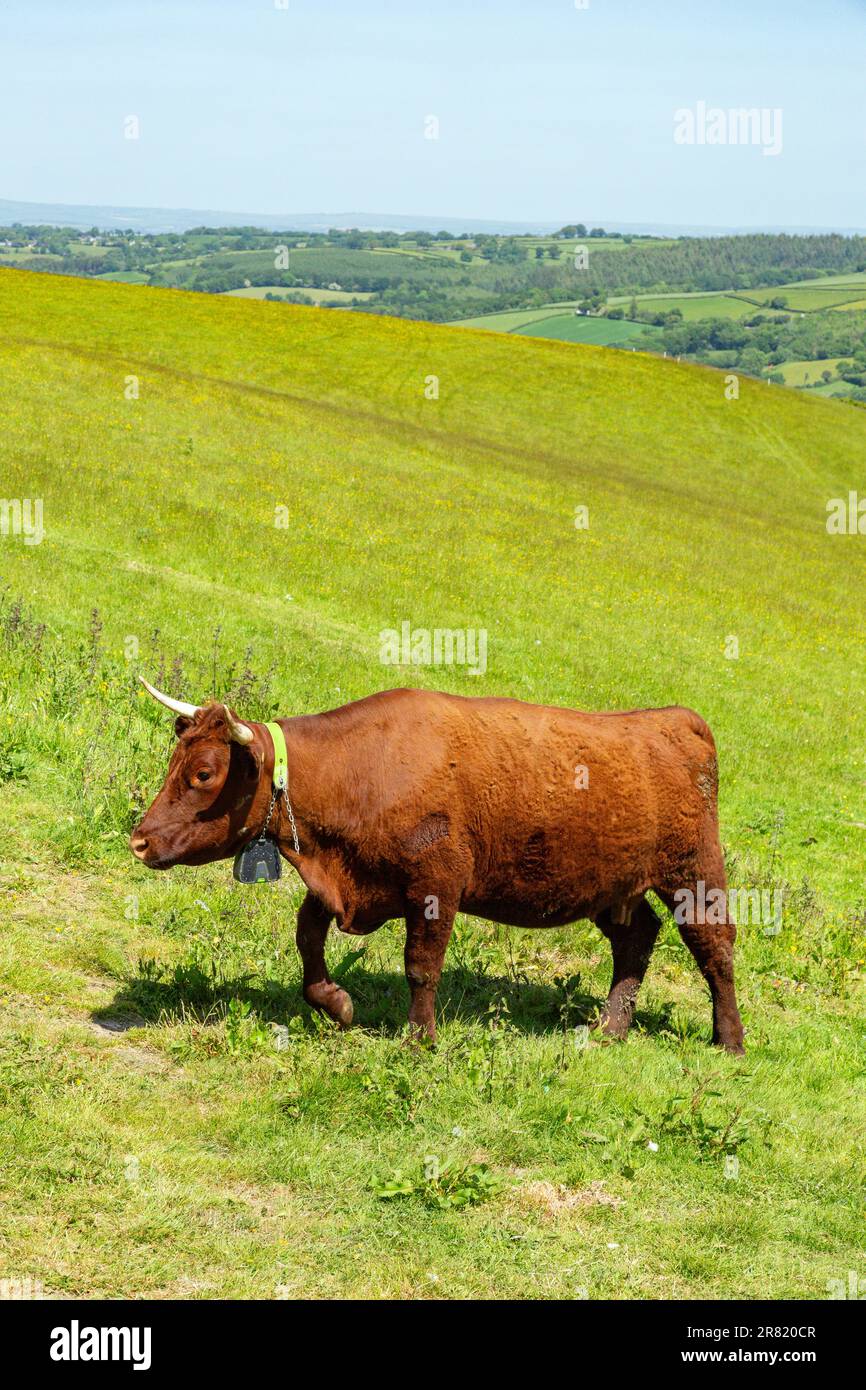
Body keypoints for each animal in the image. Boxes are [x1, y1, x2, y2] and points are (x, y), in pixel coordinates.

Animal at [130, 681, 745, 1053]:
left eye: (204, 773)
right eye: (175, 759)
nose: (138, 841)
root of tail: (675, 721)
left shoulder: (436, 887)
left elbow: (421, 965)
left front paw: (418, 1039)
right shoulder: (344, 883)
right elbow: (307, 939)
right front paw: (337, 1004)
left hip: (693, 874)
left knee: (715, 948)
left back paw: (730, 1040)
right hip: (613, 886)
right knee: (636, 938)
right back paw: (610, 1028)